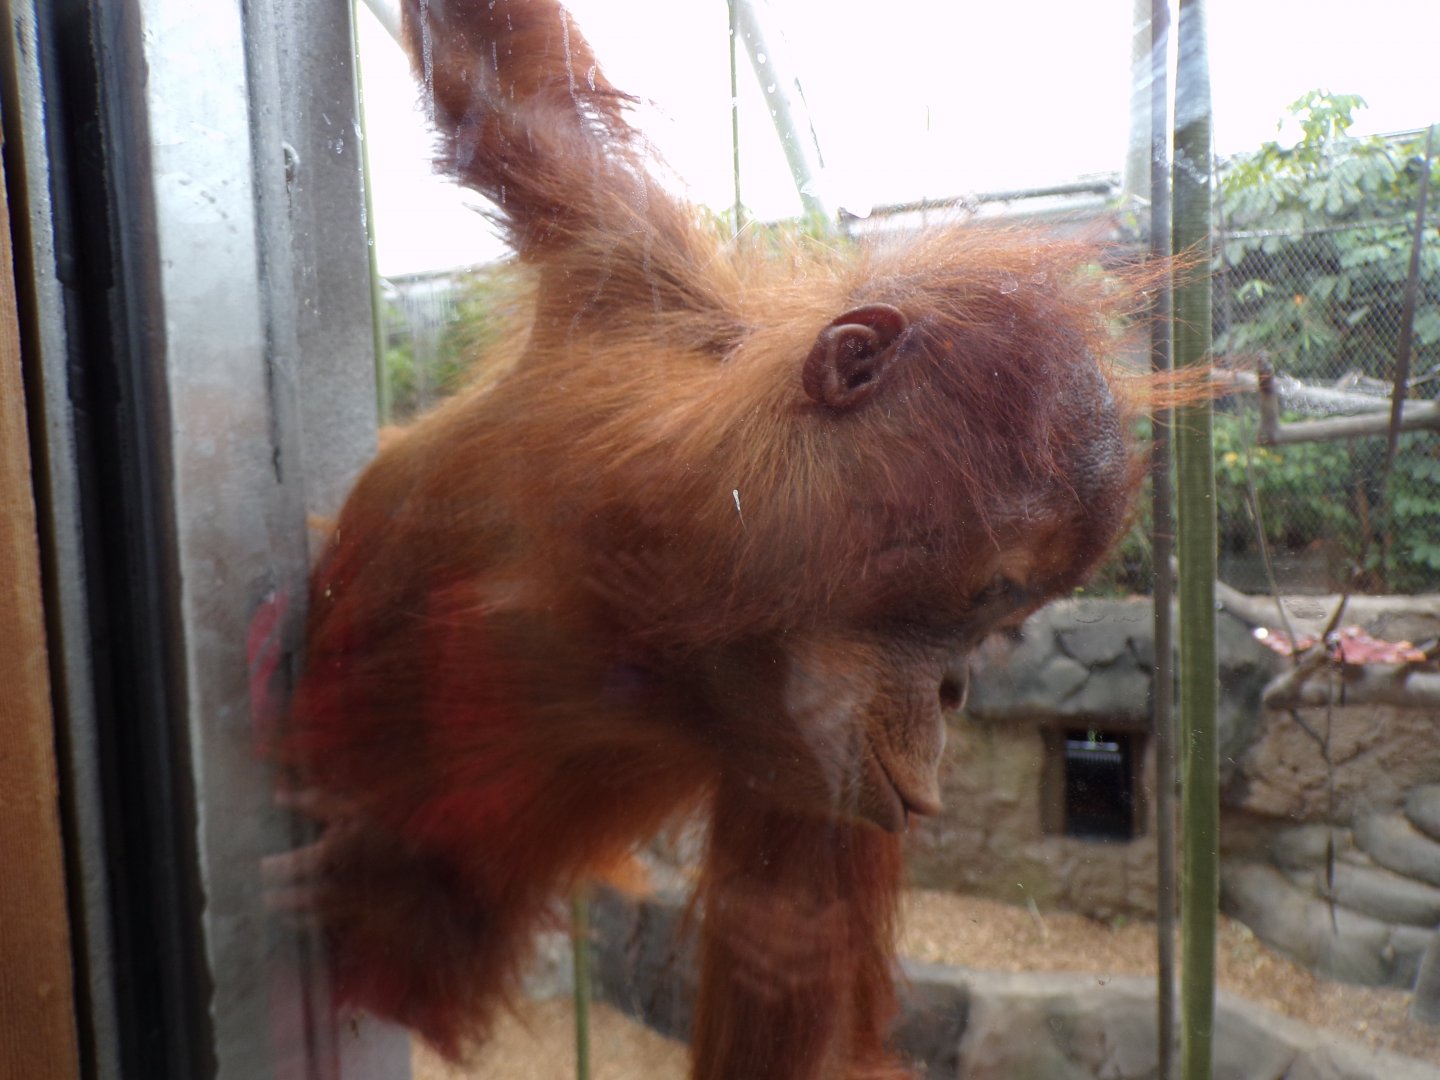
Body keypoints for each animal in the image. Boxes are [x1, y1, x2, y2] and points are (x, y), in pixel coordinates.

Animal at [270, 2, 1181, 1077]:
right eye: (990, 597)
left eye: (1005, 624)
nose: (956, 689)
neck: (658, 606)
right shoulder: (624, 273)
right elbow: (499, 85)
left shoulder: (822, 764)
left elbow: (779, 962)